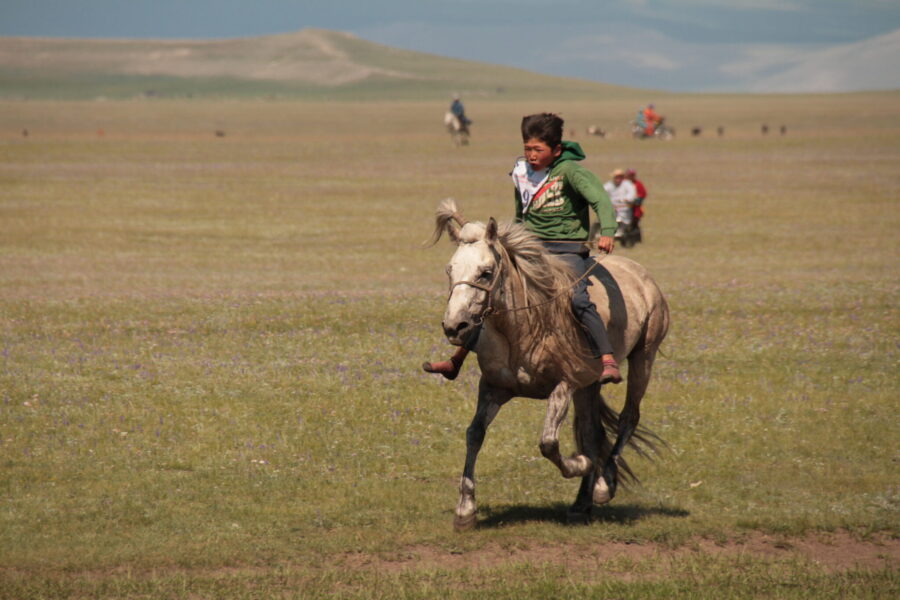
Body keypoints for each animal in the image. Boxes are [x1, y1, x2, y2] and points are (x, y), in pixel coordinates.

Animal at [430, 199, 669, 530]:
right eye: (449, 270)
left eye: (486, 272)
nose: (455, 326)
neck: (524, 328)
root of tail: (643, 276)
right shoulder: (492, 387)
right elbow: (474, 433)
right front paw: (465, 509)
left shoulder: (565, 385)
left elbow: (548, 443)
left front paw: (580, 464)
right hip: (589, 387)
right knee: (592, 432)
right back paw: (582, 503)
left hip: (643, 357)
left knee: (627, 418)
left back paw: (603, 484)